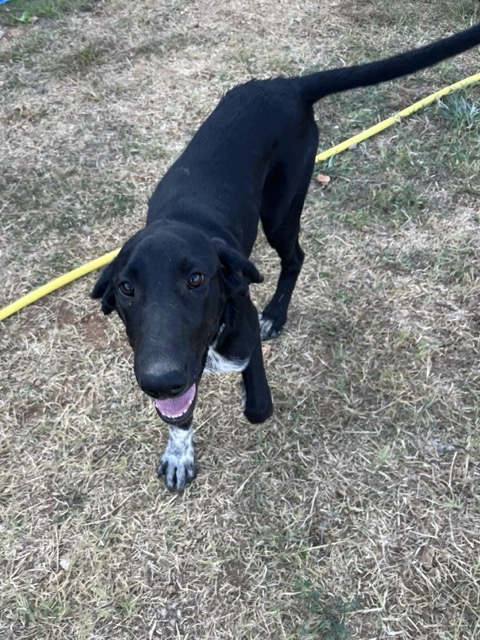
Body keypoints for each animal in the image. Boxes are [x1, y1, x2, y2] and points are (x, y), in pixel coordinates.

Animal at [92, 23, 480, 491]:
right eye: (126, 288)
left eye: (196, 279)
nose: (160, 381)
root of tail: (287, 85)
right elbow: (180, 415)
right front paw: (179, 452)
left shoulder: (241, 331)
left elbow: (257, 405)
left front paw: (242, 384)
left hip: (281, 208)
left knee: (295, 256)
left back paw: (276, 314)